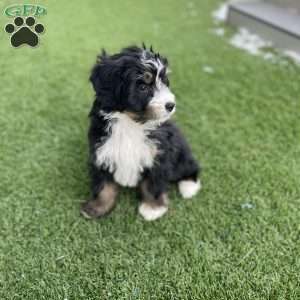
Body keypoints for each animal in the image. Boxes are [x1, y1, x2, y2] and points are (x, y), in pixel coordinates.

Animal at [81, 45, 202, 221]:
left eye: (164, 81)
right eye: (143, 87)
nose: (170, 105)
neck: (131, 123)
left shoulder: (158, 155)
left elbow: (152, 184)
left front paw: (152, 209)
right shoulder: (102, 151)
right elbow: (104, 185)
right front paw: (97, 207)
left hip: (180, 154)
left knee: (190, 166)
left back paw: (189, 187)